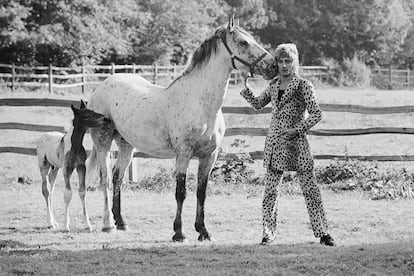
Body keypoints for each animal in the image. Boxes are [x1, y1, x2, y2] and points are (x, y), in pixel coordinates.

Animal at [35, 101, 107, 231]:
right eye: (86, 116)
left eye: (92, 111)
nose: (105, 119)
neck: (75, 146)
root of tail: (43, 135)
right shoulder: (67, 169)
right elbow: (68, 194)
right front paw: (66, 225)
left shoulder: (81, 167)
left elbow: (82, 192)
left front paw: (88, 225)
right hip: (43, 166)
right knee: (46, 190)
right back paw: (50, 223)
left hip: (55, 168)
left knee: (51, 190)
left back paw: (55, 222)